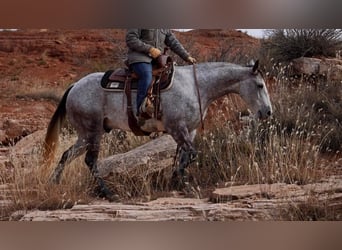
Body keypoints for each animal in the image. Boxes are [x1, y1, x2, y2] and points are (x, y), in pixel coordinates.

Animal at [43, 60, 272, 201]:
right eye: (260, 85)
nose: (268, 112)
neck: (196, 86)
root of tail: (74, 86)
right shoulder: (177, 128)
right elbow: (191, 154)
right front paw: (181, 181)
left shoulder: (188, 131)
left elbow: (184, 156)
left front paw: (177, 181)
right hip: (93, 132)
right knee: (90, 161)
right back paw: (108, 193)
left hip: (85, 135)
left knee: (66, 155)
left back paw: (54, 183)